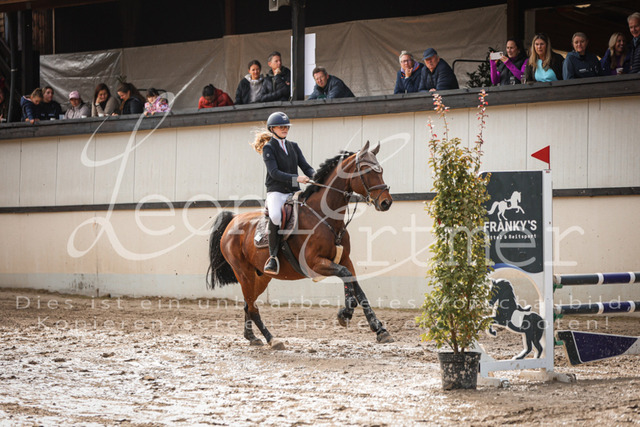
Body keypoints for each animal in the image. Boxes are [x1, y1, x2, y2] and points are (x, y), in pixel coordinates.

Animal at [207, 141, 394, 349]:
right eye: (367, 171)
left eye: (381, 170)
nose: (386, 202)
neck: (325, 218)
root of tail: (232, 221)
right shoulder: (315, 263)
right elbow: (346, 277)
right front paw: (345, 313)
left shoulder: (345, 259)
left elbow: (358, 289)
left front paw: (380, 330)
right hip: (244, 274)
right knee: (252, 307)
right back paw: (272, 339)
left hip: (260, 277)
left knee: (249, 304)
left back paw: (252, 337)